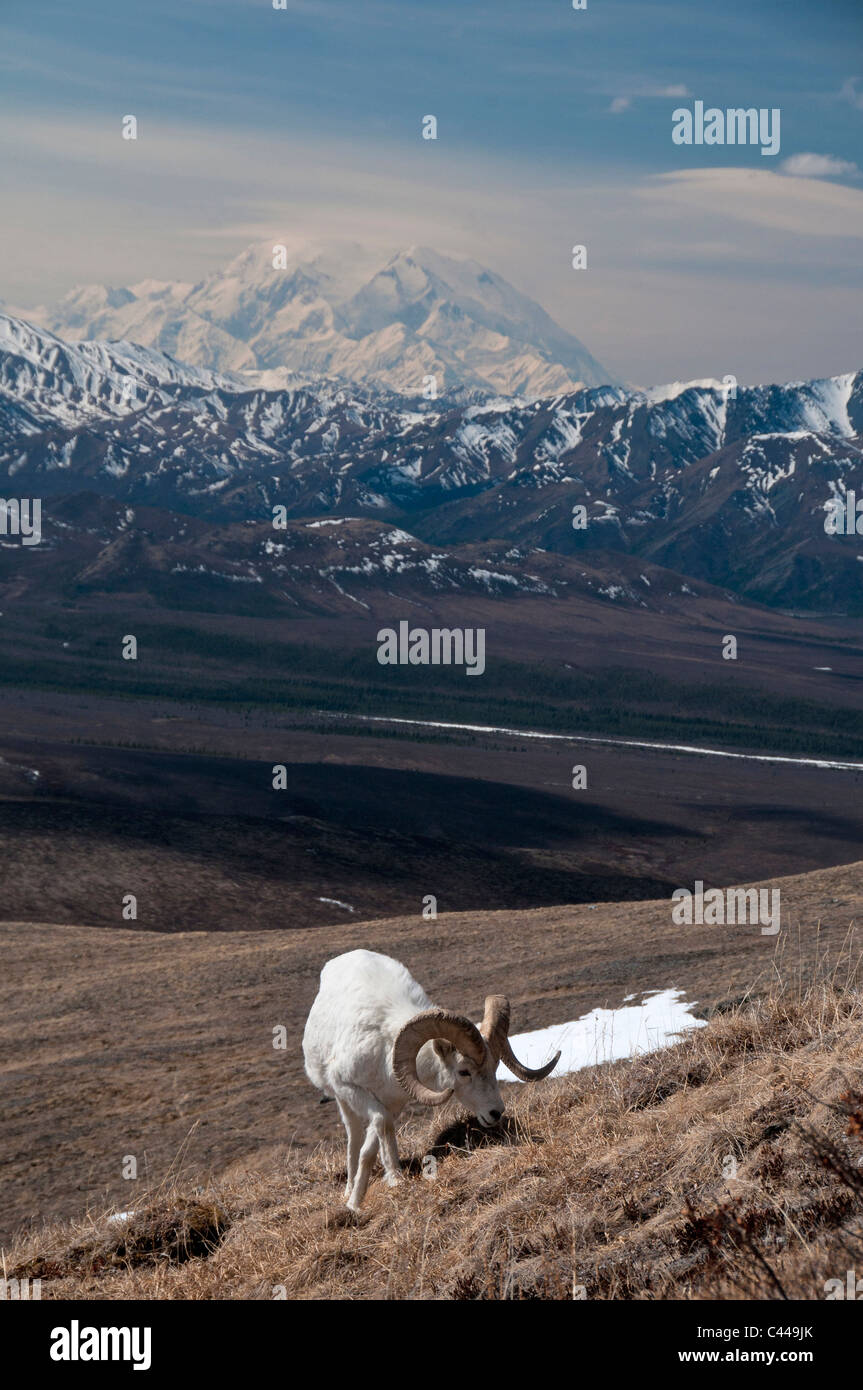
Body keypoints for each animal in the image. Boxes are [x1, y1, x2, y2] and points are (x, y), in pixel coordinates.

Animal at [302, 950, 558, 1212]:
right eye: (463, 1072)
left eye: (494, 1066)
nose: (495, 1113)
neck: (385, 1048)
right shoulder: (352, 1089)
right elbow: (374, 1134)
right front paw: (356, 1203)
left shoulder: (392, 1103)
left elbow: (377, 1139)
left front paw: (391, 1180)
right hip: (343, 1100)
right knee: (353, 1136)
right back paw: (348, 1191)